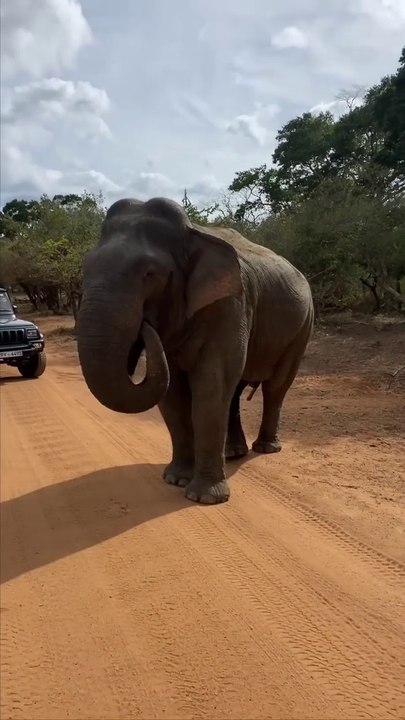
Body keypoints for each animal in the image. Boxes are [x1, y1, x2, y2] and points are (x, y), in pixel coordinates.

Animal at [77, 196, 314, 505]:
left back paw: (266, 449)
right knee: (235, 391)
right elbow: (173, 393)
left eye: (149, 274)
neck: (193, 233)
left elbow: (210, 386)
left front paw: (205, 498)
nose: (144, 326)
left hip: (303, 326)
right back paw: (233, 453)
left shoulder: (230, 304)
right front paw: (175, 480)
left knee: (276, 386)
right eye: (85, 268)